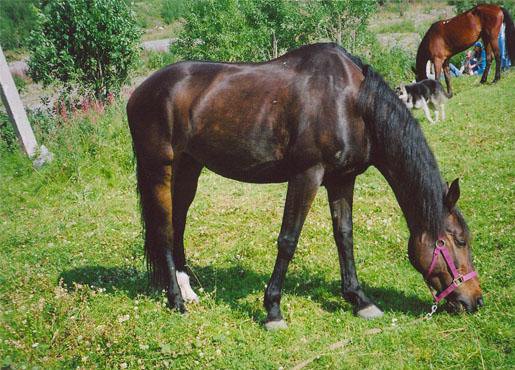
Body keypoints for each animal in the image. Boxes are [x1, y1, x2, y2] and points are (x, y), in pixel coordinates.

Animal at [128, 43, 484, 330]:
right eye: (460, 241)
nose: (475, 300)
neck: (352, 102)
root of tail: (138, 92)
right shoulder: (306, 175)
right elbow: (288, 240)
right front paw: (273, 309)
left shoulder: (342, 179)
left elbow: (344, 236)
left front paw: (360, 299)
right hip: (159, 169)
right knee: (163, 229)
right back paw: (176, 300)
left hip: (189, 168)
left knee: (178, 223)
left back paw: (187, 290)